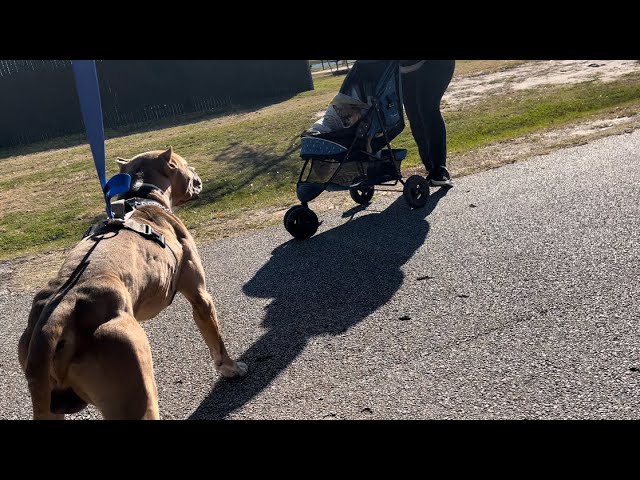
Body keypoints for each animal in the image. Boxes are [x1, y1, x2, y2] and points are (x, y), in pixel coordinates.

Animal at [17, 147, 248, 420]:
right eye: (185, 164)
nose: (195, 172)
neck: (142, 198)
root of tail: (59, 312)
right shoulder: (199, 295)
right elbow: (216, 339)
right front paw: (231, 368)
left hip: (47, 401)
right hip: (135, 384)